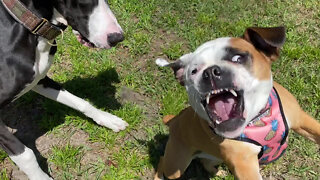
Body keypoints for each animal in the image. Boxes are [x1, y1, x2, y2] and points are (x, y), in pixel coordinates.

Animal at [154, 27, 320, 180]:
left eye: (237, 58)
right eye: (194, 71)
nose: (210, 71)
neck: (259, 119)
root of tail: (174, 119)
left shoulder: (302, 120)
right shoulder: (245, 166)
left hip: (213, 156)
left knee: (205, 162)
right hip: (176, 165)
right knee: (162, 161)